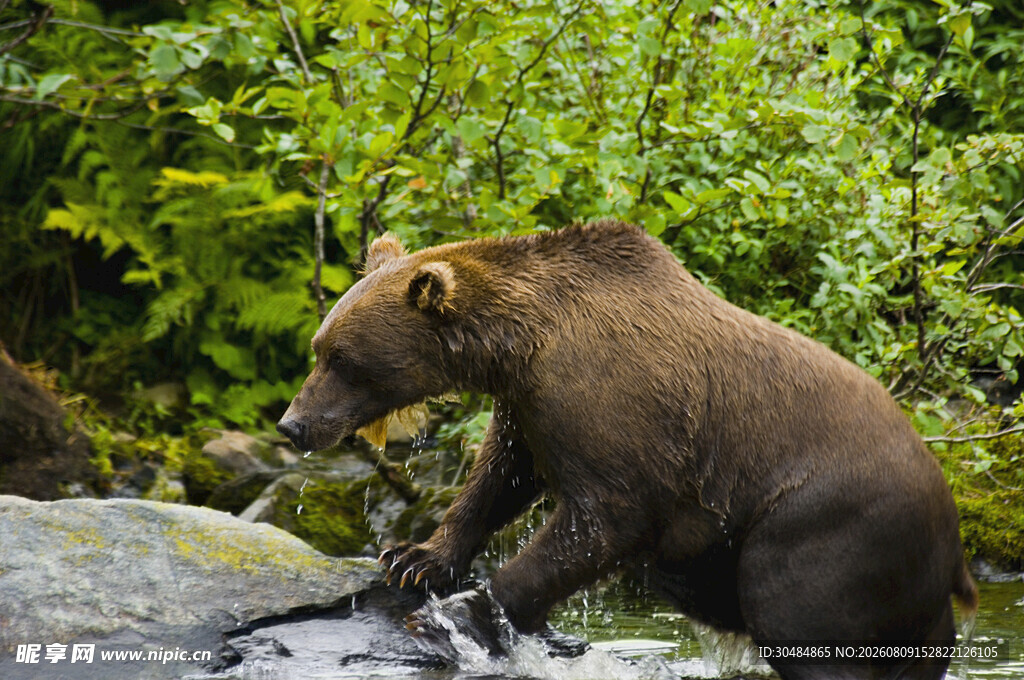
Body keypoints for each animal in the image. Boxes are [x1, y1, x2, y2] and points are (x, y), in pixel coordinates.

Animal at [277, 219, 977, 679]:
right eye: (319, 348)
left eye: (342, 360)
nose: (293, 425)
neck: (519, 345)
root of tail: (953, 533)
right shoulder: (528, 406)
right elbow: (499, 477)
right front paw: (414, 558)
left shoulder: (614, 409)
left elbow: (602, 521)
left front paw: (457, 614)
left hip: (827, 528)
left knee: (803, 619)